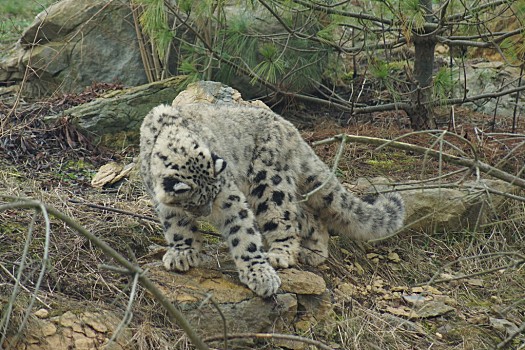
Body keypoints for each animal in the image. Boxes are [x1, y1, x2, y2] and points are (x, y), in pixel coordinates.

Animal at [139, 102, 406, 296]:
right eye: (193, 202)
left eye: (213, 195)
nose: (206, 214)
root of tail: (291, 129)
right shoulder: (166, 205)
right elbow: (179, 228)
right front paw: (182, 253)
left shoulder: (229, 197)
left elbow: (243, 234)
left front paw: (259, 274)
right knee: (309, 218)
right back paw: (314, 251)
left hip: (268, 184)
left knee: (284, 219)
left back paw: (280, 255)